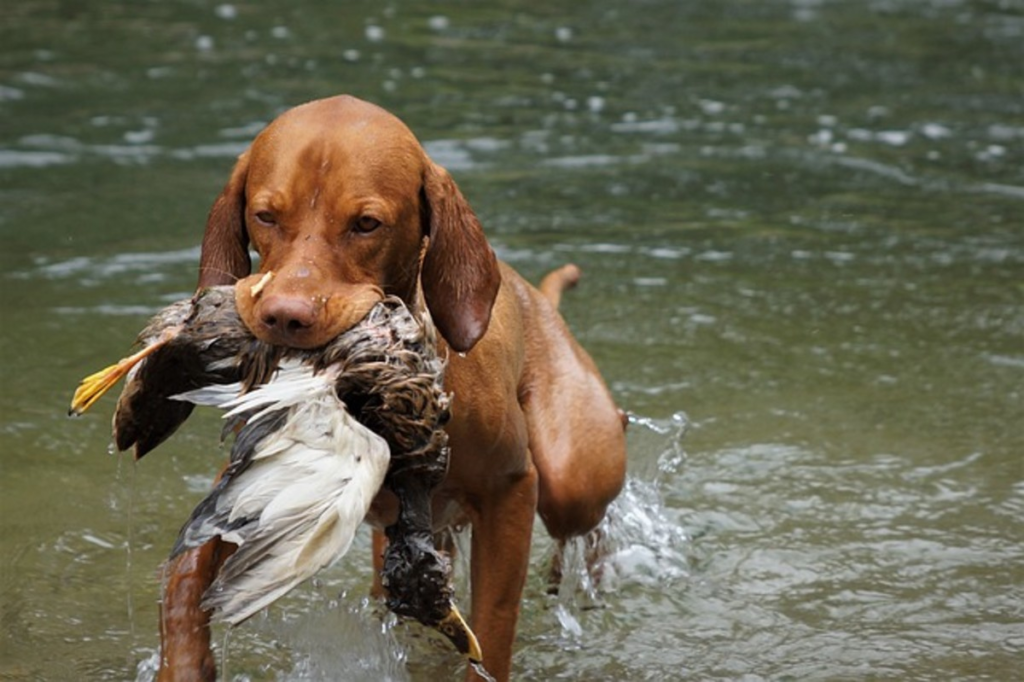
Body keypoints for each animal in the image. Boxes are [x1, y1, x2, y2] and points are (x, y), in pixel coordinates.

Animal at [157, 95, 622, 679]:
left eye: (366, 224)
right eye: (265, 216)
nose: (283, 317)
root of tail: (538, 299)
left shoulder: (510, 490)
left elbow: (491, 629)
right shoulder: (254, 482)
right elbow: (186, 572)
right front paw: (184, 661)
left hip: (570, 477)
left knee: (585, 520)